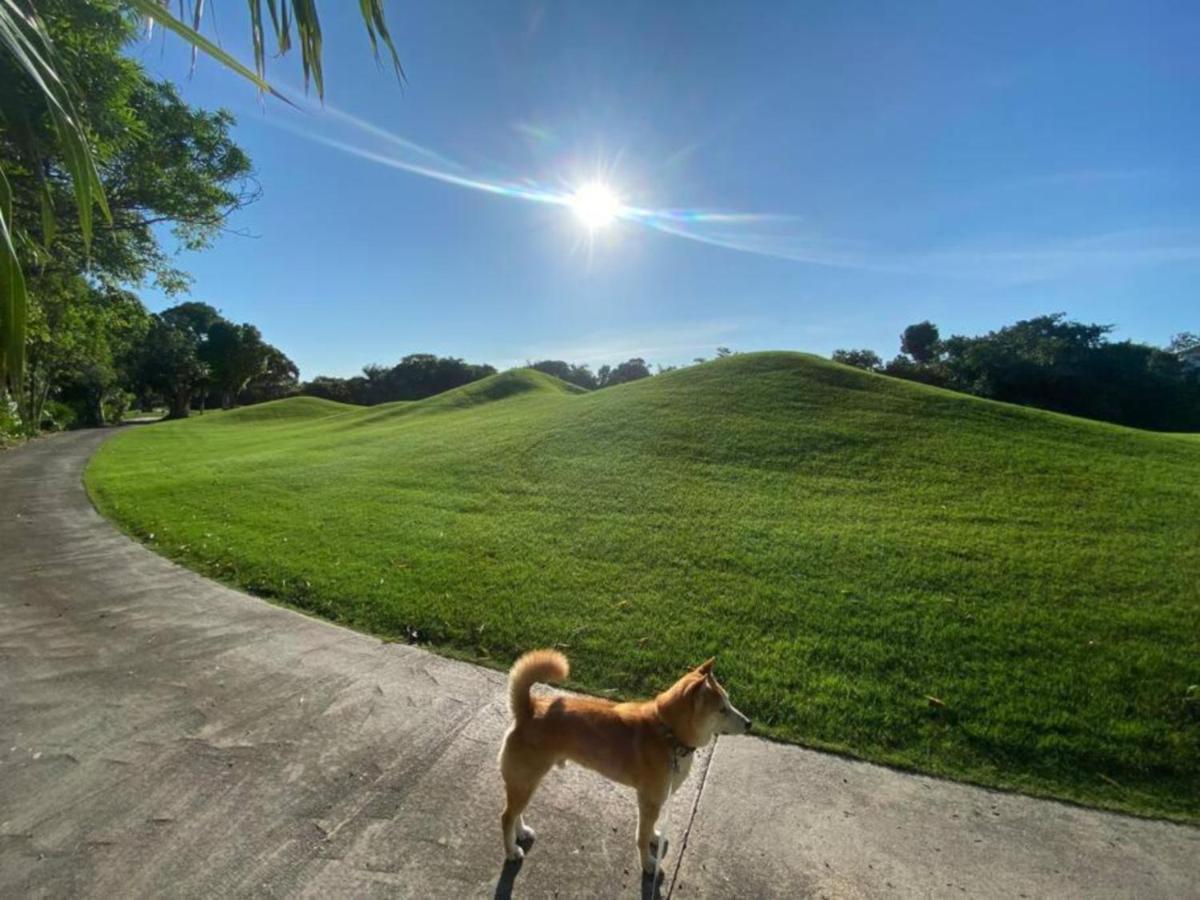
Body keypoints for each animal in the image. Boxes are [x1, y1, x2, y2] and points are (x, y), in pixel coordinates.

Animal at [496, 652, 748, 878]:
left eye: (729, 702)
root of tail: (528, 708)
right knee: (506, 816)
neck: (669, 733)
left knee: (515, 811)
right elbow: (641, 837)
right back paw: (511, 851)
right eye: (722, 709)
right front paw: (648, 863)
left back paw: (521, 832)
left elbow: (650, 829)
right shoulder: (649, 800)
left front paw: (655, 836)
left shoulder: (654, 801)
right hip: (526, 778)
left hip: (527, 781)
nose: (750, 723)